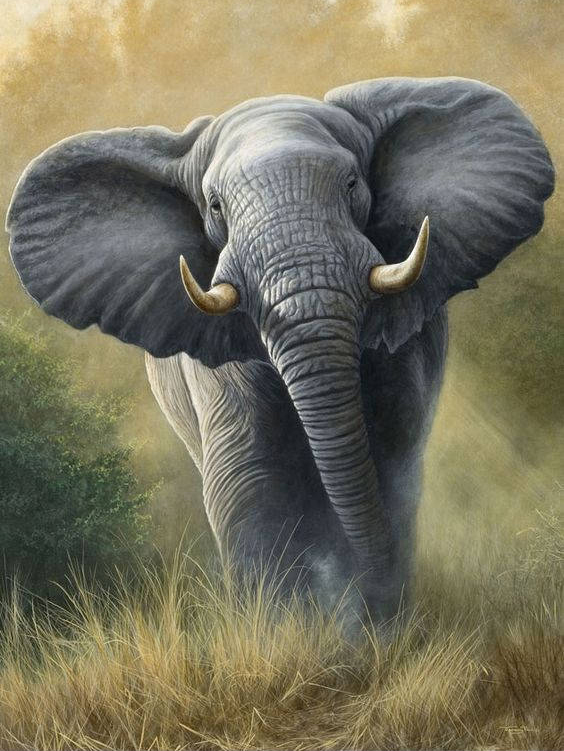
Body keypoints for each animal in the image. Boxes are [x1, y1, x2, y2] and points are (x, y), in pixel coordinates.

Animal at [6, 77, 554, 630]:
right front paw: (284, 632)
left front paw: (376, 630)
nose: (370, 597)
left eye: (352, 184)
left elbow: (391, 461)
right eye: (216, 207)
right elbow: (249, 479)